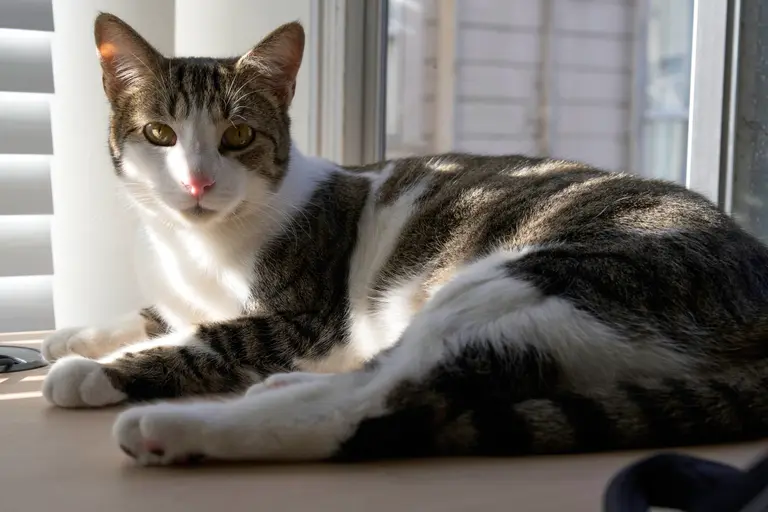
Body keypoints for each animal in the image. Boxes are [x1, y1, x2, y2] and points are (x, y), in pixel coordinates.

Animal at [40, 13, 768, 468]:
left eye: (238, 136)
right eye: (159, 134)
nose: (196, 182)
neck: (197, 248)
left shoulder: (305, 318)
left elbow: (206, 337)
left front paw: (91, 370)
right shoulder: (186, 295)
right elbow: (157, 314)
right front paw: (71, 335)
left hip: (537, 278)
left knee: (372, 403)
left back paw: (174, 428)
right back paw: (276, 389)